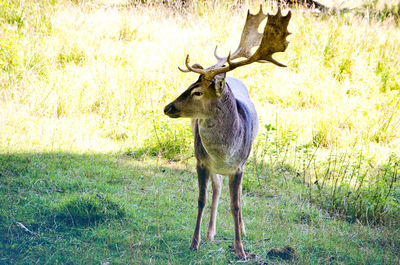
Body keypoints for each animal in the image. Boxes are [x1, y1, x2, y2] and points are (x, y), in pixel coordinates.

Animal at [162, 5, 290, 258]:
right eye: (188, 85)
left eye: (198, 92)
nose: (167, 107)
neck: (224, 153)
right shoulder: (201, 161)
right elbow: (201, 199)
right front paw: (195, 242)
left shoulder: (238, 166)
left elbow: (236, 204)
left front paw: (240, 249)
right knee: (217, 188)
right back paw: (210, 233)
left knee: (236, 195)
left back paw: (242, 228)